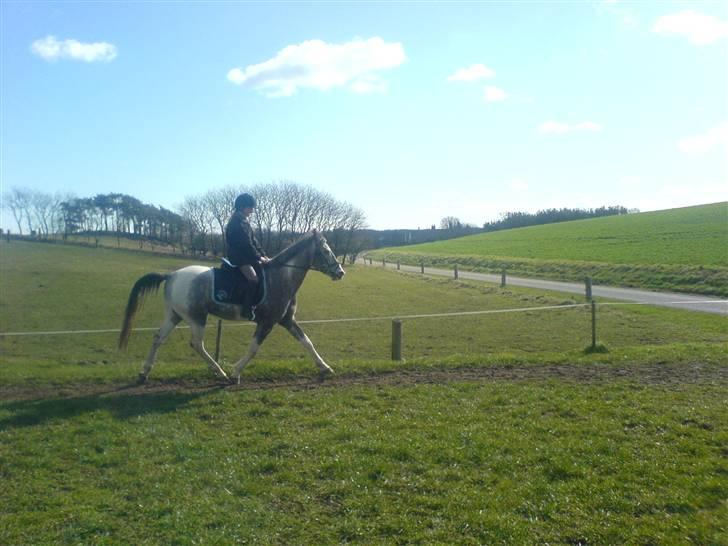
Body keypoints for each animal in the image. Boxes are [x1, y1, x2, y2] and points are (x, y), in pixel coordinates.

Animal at [118, 230, 346, 382]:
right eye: (326, 251)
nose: (340, 272)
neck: (282, 277)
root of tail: (172, 275)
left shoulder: (287, 320)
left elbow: (307, 342)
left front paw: (325, 367)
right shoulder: (267, 323)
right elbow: (253, 349)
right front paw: (236, 373)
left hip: (175, 314)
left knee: (158, 338)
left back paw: (144, 372)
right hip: (196, 317)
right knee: (197, 344)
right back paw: (220, 372)